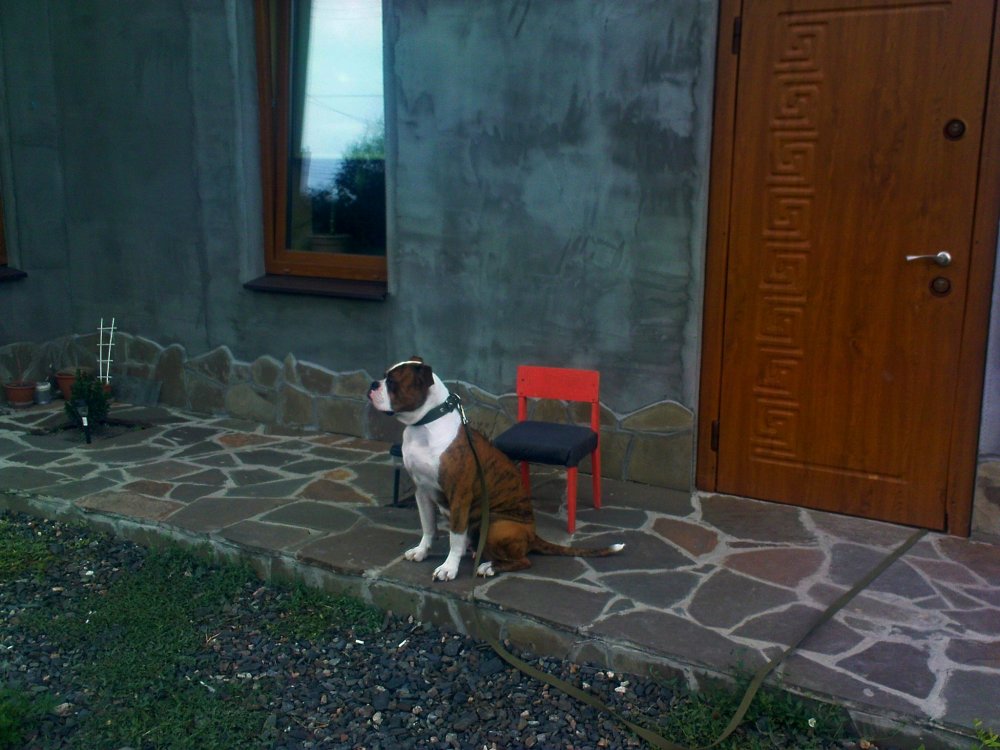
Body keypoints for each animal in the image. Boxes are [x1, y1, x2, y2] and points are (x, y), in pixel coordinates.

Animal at [368, 357, 624, 580]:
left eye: (392, 382)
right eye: (384, 377)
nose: (373, 384)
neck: (424, 426)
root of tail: (532, 534)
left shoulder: (459, 496)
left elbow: (454, 536)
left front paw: (448, 568)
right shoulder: (422, 492)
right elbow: (428, 526)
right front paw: (422, 551)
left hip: (495, 526)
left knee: (523, 560)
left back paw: (489, 566)